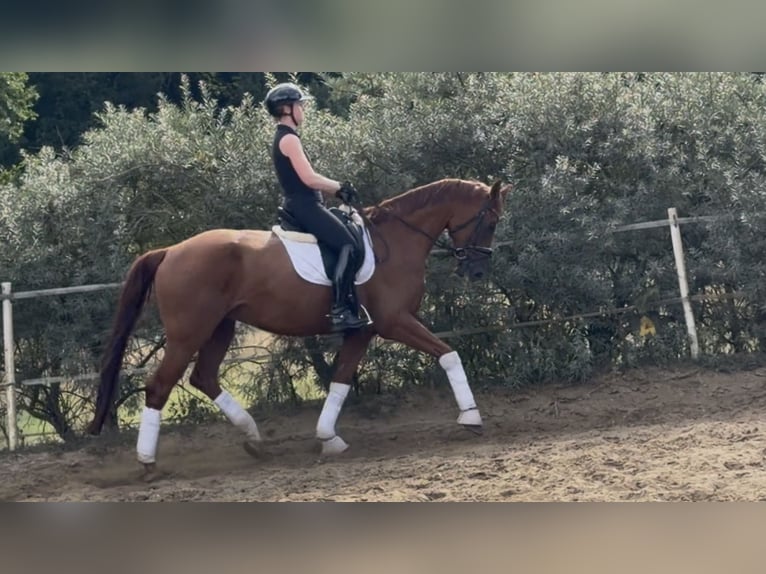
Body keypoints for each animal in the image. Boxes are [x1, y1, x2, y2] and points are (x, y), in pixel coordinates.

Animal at [88, 178, 510, 477]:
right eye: (490, 221)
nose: (476, 271)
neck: (396, 240)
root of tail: (170, 251)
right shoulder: (394, 322)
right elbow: (449, 355)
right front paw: (471, 417)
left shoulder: (363, 330)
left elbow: (340, 379)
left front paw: (328, 438)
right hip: (187, 333)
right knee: (160, 386)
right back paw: (148, 463)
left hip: (220, 327)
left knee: (203, 377)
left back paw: (254, 440)